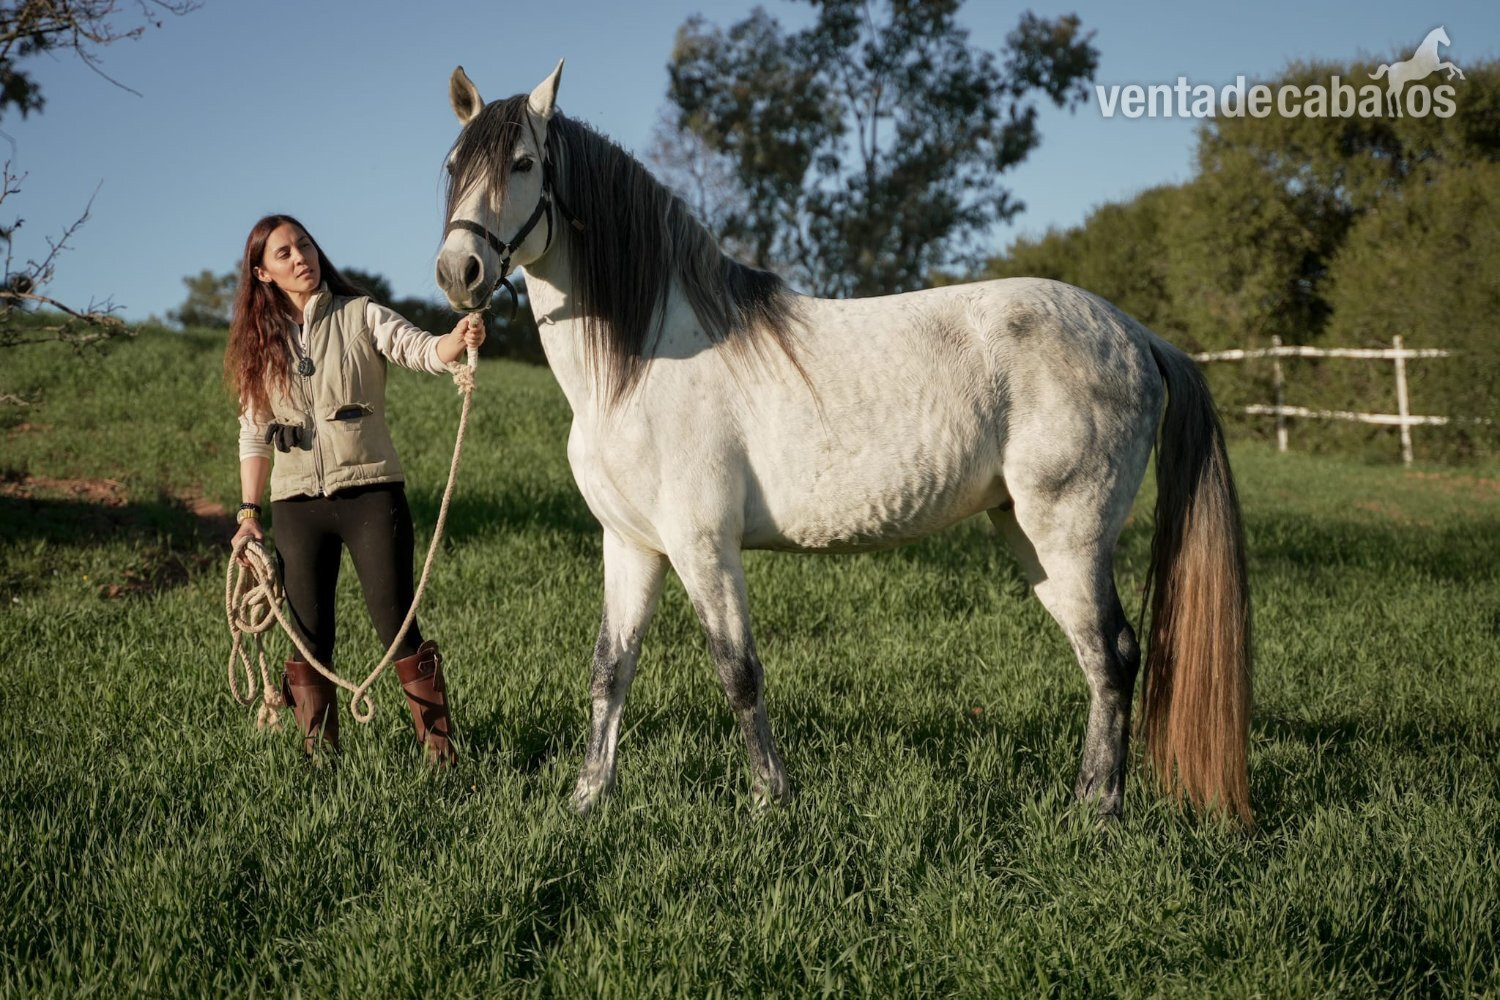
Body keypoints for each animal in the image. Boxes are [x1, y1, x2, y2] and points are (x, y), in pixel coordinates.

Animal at [435, 62, 1253, 826]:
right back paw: (1089, 800)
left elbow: (738, 671)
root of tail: (1137, 335)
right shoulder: (633, 544)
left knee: (1114, 655)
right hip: (1030, 537)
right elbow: (611, 669)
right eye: (451, 164)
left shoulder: (703, 545)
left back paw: (1100, 811)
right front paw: (585, 801)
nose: (458, 271)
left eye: (524, 163)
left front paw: (771, 799)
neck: (644, 359)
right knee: (1097, 657)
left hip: (1071, 536)